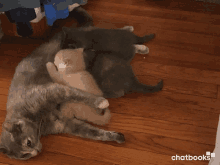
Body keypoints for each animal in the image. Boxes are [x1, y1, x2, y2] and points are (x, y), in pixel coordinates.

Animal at [0, 31, 124, 160]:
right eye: (24, 155)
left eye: (28, 143)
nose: (37, 152)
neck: (38, 120)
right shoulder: (66, 124)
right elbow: (94, 132)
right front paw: (116, 136)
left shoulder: (54, 91)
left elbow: (78, 95)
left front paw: (101, 102)